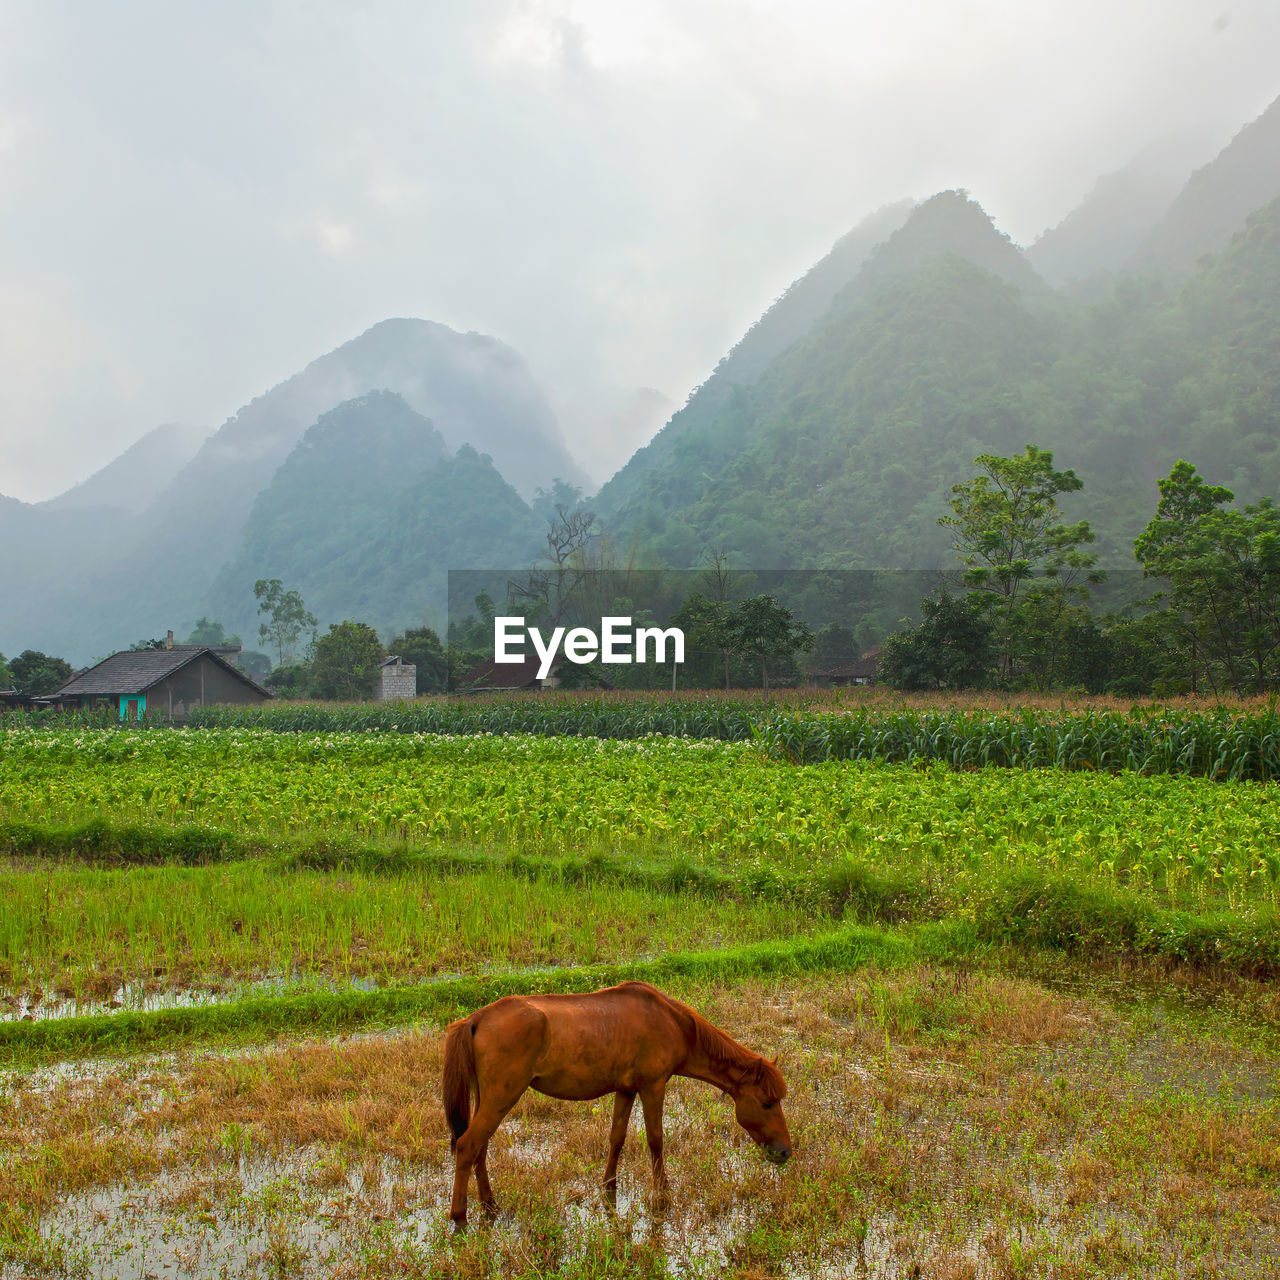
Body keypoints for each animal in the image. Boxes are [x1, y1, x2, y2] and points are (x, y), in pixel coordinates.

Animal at [440, 977, 788, 1218]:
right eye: (767, 1103)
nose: (785, 1152)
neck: (671, 1021)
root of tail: (475, 1020)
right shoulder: (652, 1086)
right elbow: (656, 1139)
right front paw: (662, 1191)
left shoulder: (626, 1089)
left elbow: (617, 1138)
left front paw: (609, 1187)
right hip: (502, 1096)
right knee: (468, 1145)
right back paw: (459, 1216)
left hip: (489, 1099)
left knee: (480, 1147)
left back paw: (489, 1204)